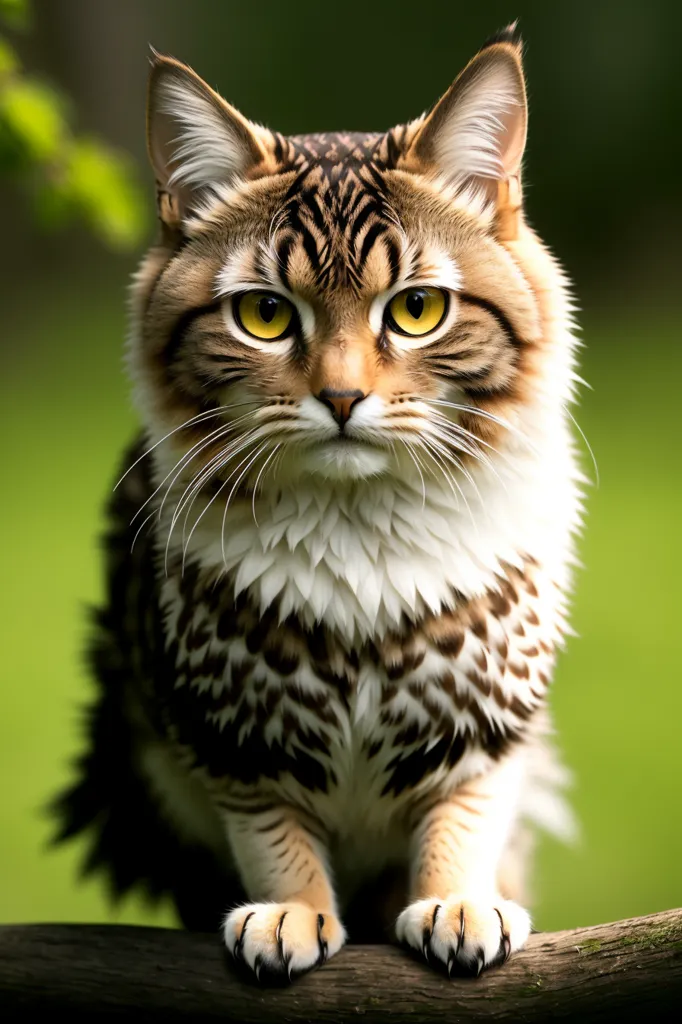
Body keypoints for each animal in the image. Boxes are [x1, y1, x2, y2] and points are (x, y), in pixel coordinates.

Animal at [55, 24, 581, 978]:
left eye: (417, 310)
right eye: (265, 316)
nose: (341, 397)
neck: (359, 524)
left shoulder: (489, 729)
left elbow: (463, 821)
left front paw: (458, 902)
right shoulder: (228, 743)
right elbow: (277, 839)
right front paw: (291, 913)